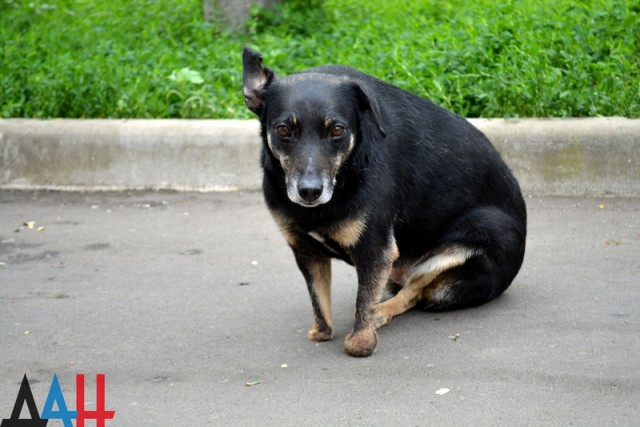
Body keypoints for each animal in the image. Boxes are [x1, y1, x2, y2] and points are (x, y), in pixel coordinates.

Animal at [242, 46, 528, 358]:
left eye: (337, 130)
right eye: (283, 130)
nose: (309, 191)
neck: (346, 175)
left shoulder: (376, 250)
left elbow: (362, 306)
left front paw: (361, 340)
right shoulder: (306, 250)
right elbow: (319, 301)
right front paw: (321, 332)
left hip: (476, 238)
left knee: (412, 293)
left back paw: (382, 311)